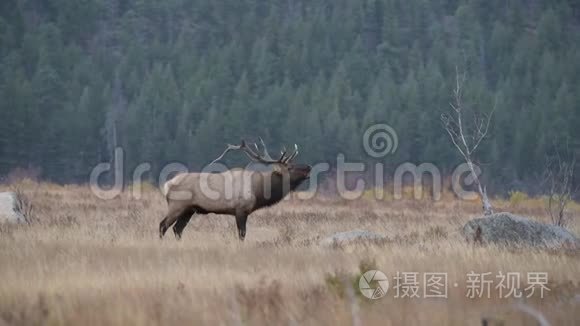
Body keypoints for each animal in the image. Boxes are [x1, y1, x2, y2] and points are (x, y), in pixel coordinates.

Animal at [159, 139, 310, 241]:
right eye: (290, 168)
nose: (308, 167)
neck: (258, 191)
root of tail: (167, 185)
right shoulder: (240, 210)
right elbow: (242, 234)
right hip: (177, 205)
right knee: (163, 225)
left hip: (189, 210)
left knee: (177, 229)